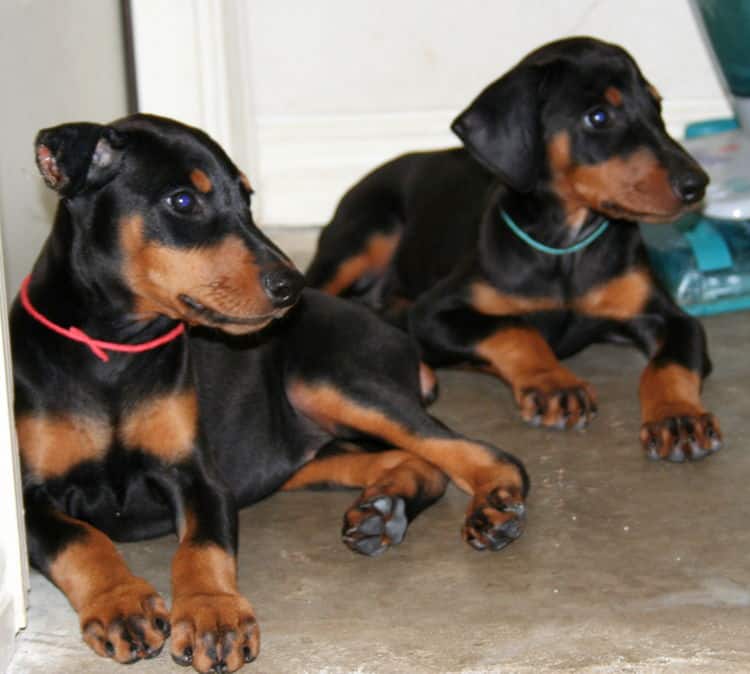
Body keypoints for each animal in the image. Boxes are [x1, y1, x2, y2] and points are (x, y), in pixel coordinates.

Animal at [11, 113, 528, 668]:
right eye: (183, 201)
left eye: (247, 198)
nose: (291, 287)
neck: (112, 350)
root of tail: (392, 330)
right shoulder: (27, 498)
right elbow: (79, 538)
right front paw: (121, 603)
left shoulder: (199, 476)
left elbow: (201, 547)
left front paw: (213, 615)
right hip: (295, 447)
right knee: (414, 461)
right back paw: (382, 510)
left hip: (333, 383)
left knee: (482, 454)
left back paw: (490, 506)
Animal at [308, 38, 724, 462]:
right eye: (598, 116)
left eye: (657, 107)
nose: (697, 185)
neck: (564, 250)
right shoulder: (433, 311)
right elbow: (514, 327)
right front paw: (553, 382)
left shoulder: (670, 317)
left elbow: (671, 363)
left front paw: (677, 416)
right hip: (364, 235)